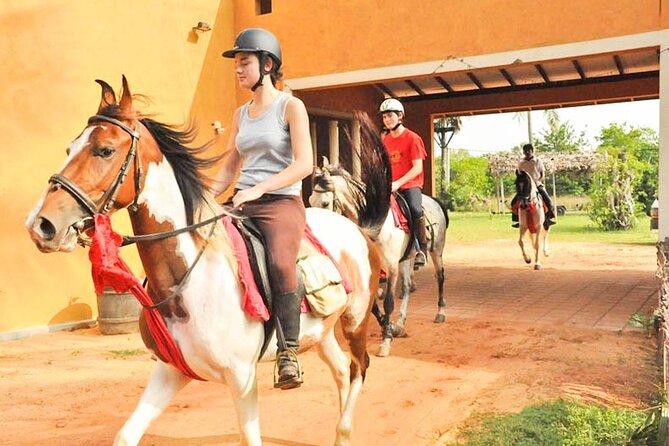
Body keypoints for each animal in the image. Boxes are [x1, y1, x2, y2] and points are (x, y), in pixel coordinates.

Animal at [25, 77, 392, 446]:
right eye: (69, 149)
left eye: (105, 150)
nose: (40, 224)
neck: (191, 280)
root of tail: (359, 229)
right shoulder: (171, 370)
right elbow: (126, 436)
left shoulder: (241, 377)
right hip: (321, 333)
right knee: (342, 371)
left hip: (355, 322)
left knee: (358, 368)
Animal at [310, 159, 449, 358]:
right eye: (309, 200)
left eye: (326, 203)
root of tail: (434, 201)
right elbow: (374, 304)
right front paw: (388, 326)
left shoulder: (391, 266)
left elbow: (389, 302)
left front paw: (386, 342)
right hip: (406, 259)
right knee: (407, 287)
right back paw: (400, 324)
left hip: (436, 250)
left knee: (440, 277)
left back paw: (440, 312)